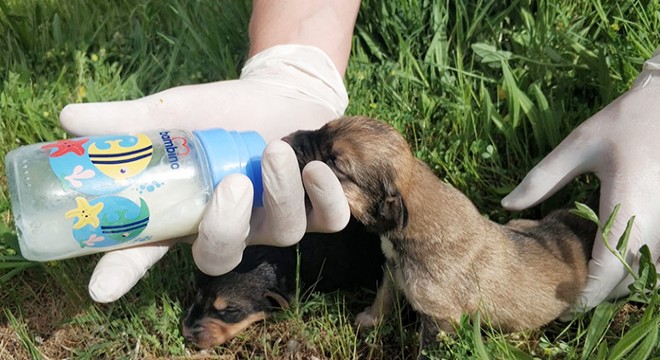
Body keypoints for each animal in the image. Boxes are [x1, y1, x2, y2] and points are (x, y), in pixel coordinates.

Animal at [284, 116, 600, 346]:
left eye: (334, 163)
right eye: (325, 127)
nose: (287, 139)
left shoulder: (440, 316)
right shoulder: (393, 269)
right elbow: (384, 297)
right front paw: (370, 319)